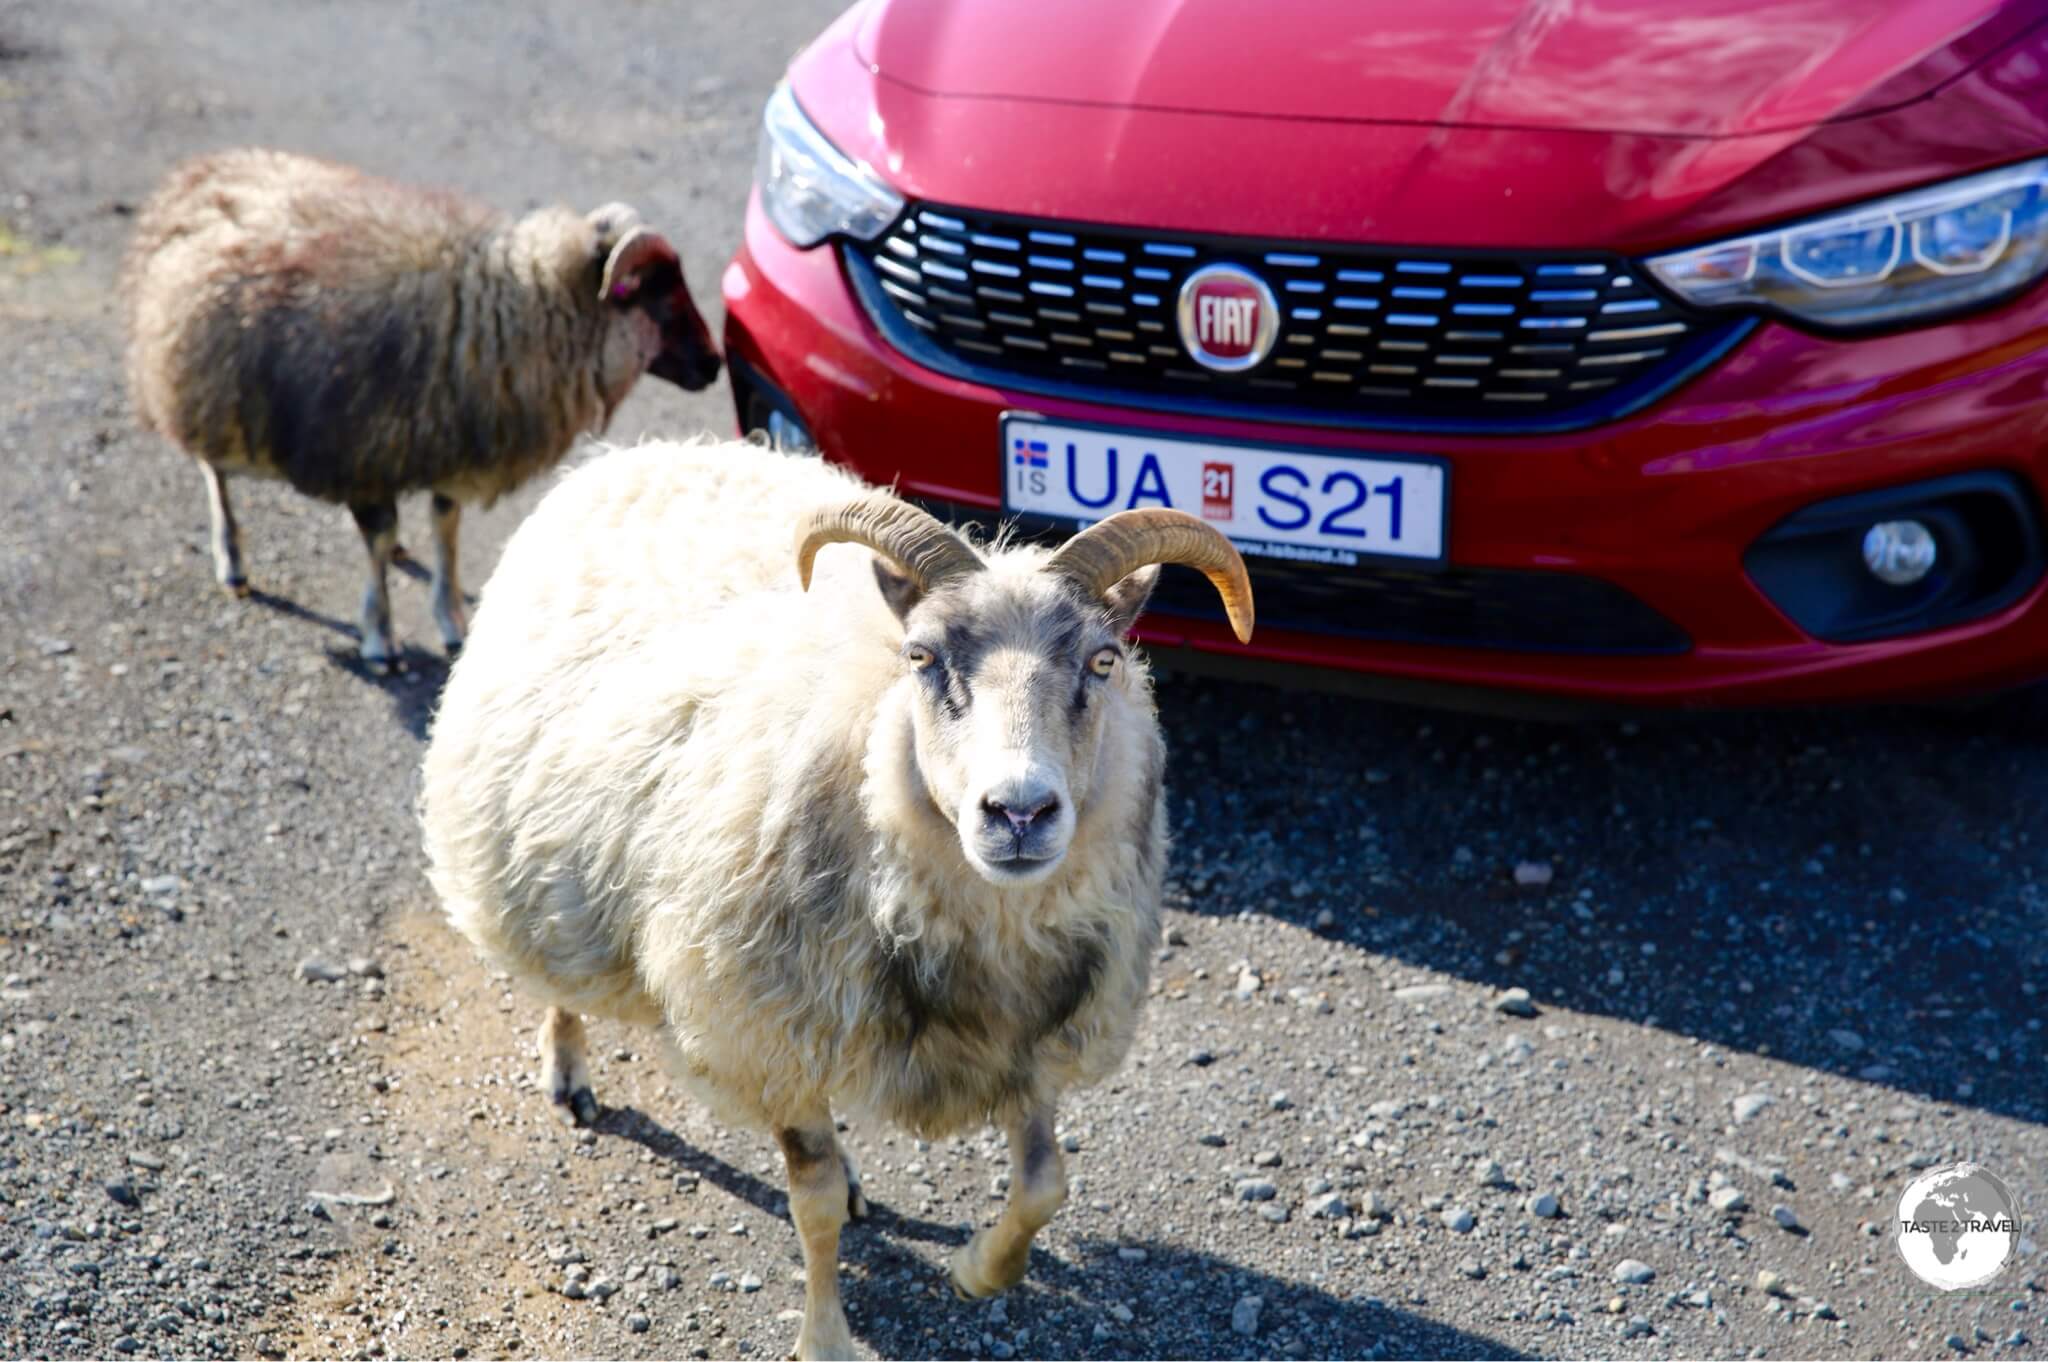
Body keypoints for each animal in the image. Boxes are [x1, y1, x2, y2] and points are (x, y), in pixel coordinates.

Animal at [123, 151, 720, 671]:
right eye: (660, 296)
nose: (715, 365)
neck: (508, 313)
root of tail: (199, 174)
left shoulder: (450, 447)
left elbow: (445, 529)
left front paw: (452, 619)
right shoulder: (363, 453)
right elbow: (378, 540)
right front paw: (380, 636)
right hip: (205, 384)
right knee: (214, 471)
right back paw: (232, 561)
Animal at [419, 440, 1245, 1351]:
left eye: (1104, 661)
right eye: (921, 658)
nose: (1020, 812)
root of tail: (646, 453)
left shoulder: (1028, 1036)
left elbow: (1044, 1184)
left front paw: (977, 1271)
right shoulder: (768, 1034)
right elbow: (810, 1208)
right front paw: (824, 1340)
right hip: (533, 855)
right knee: (558, 966)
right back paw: (567, 1062)